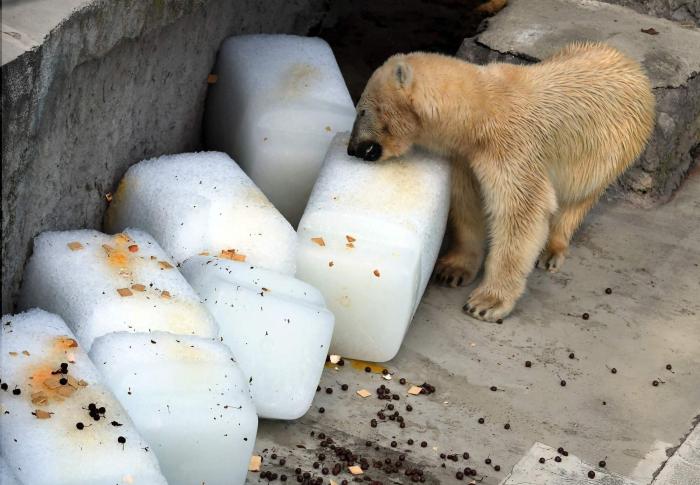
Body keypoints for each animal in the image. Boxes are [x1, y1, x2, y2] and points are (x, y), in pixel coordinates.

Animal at [347, 42, 655, 322]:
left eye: (362, 110)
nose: (352, 149)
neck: (480, 111)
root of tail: (635, 68)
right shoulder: (467, 157)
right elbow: (468, 204)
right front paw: (453, 269)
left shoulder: (513, 148)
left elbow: (521, 214)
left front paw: (486, 303)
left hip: (613, 148)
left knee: (578, 199)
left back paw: (551, 250)